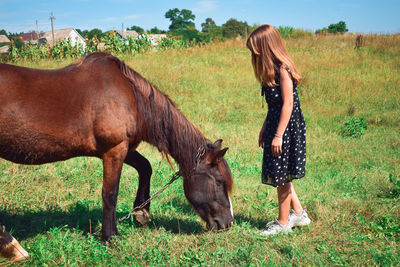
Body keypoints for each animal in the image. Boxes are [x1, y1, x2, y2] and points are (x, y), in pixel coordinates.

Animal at [0, 53, 234, 262]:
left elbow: (145, 167)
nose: (228, 223)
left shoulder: (124, 148)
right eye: (219, 182)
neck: (131, 96)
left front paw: (141, 211)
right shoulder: (114, 150)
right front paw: (111, 236)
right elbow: (110, 193)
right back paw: (12, 246)